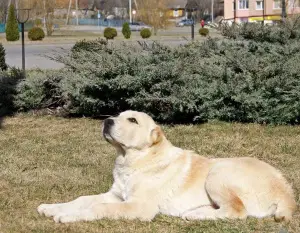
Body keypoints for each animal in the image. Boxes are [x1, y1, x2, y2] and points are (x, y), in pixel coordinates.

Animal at [37, 110, 296, 223]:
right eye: (118, 115)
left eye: (132, 120)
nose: (107, 120)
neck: (134, 160)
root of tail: (288, 194)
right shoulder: (116, 196)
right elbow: (83, 199)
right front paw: (53, 208)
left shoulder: (139, 207)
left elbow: (98, 207)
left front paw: (68, 216)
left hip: (218, 172)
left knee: (237, 211)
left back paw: (196, 214)